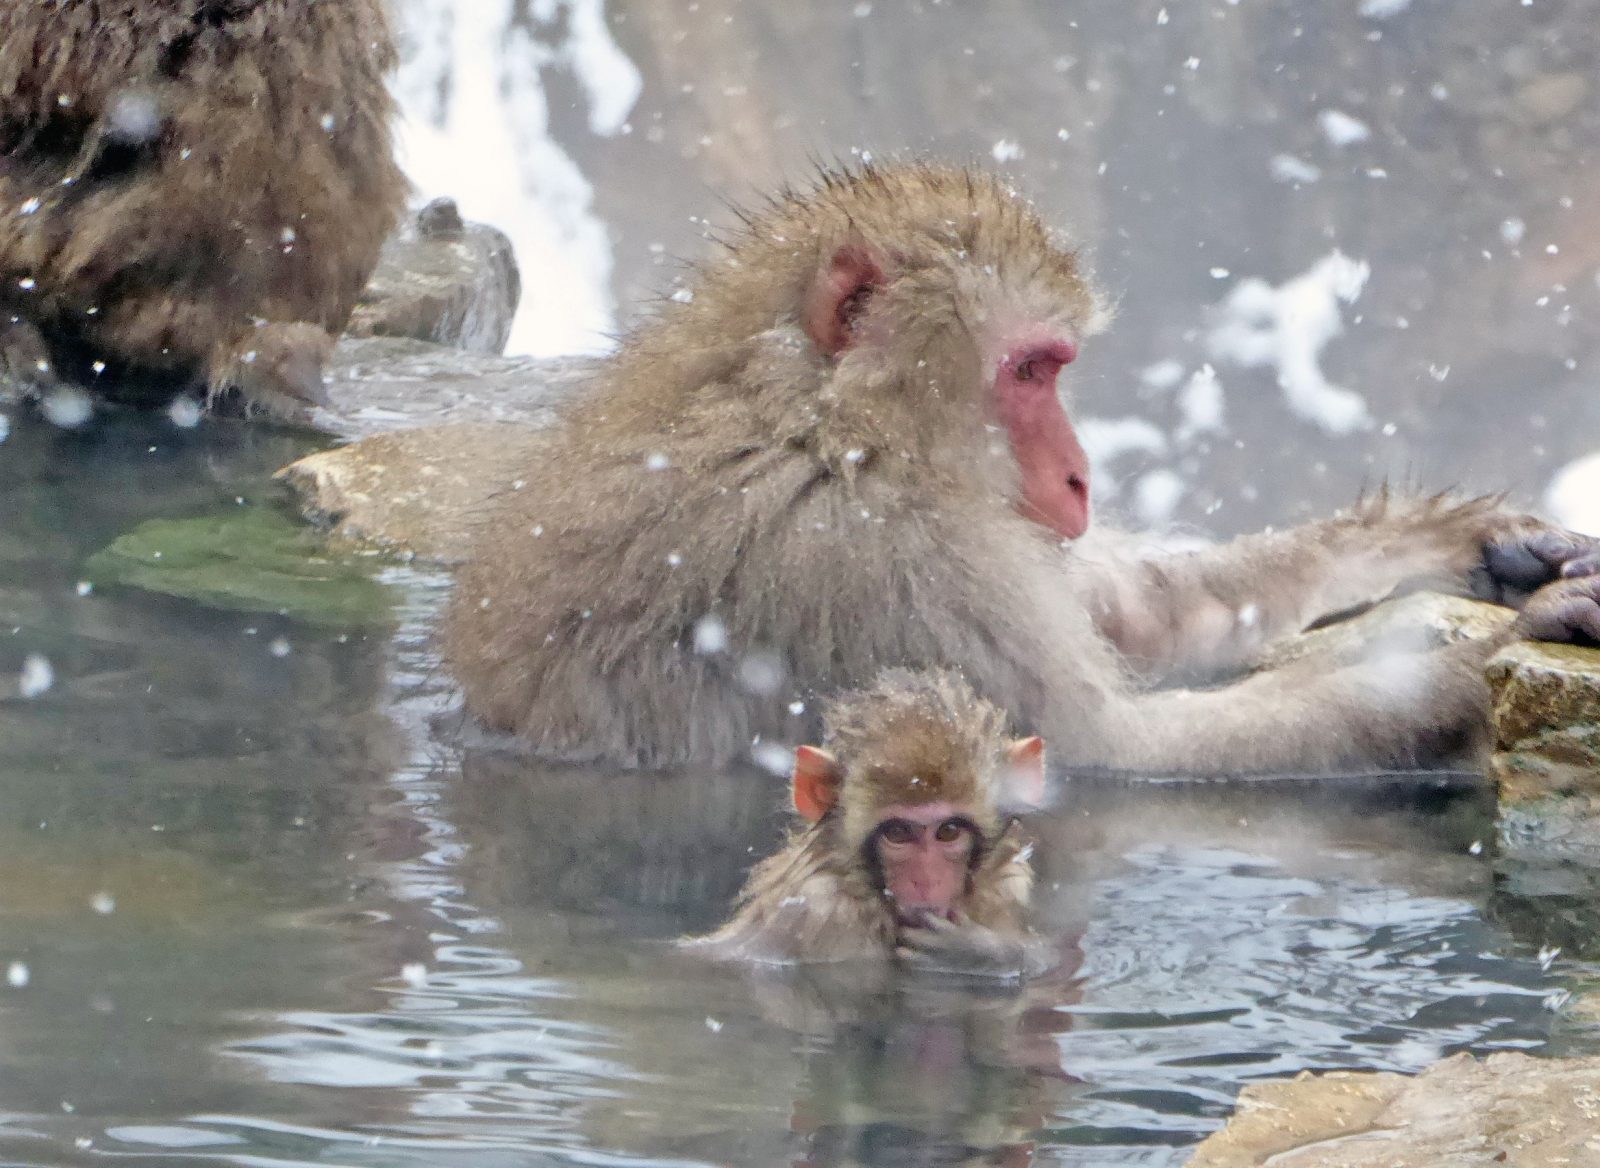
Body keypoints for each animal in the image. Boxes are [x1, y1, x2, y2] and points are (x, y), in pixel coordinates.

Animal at [443, 162, 1600, 774]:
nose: (1081, 476)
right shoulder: (877, 565)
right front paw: (1478, 665)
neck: (826, 428)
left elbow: (1140, 615)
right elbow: (1105, 757)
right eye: (1032, 370)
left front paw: (1460, 543)